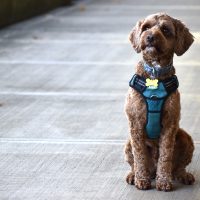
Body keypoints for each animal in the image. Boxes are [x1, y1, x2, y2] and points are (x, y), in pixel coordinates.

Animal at [124, 12, 195, 192]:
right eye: (146, 27)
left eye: (165, 29)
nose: (149, 37)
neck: (154, 74)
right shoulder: (136, 125)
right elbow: (139, 156)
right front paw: (141, 180)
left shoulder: (170, 124)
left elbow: (166, 155)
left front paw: (163, 181)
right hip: (128, 142)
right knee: (134, 163)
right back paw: (134, 175)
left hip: (185, 137)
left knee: (177, 167)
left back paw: (183, 175)